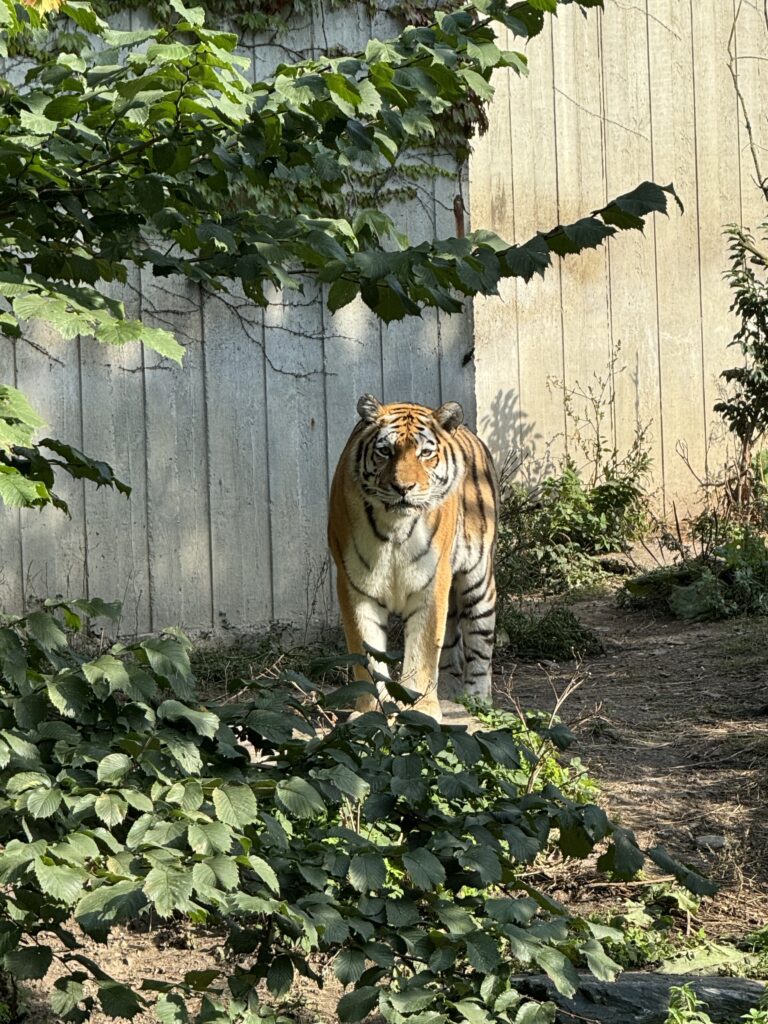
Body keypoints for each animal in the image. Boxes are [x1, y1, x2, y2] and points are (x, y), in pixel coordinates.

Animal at [329, 391, 499, 720]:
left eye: (425, 453)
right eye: (385, 451)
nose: (403, 488)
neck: (395, 527)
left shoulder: (432, 583)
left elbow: (424, 649)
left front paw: (421, 709)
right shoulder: (355, 584)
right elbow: (366, 652)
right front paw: (371, 710)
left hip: (478, 580)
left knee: (480, 642)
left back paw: (477, 699)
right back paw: (450, 694)